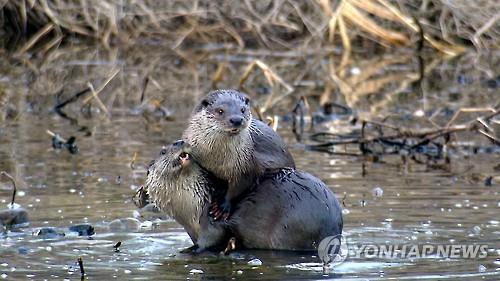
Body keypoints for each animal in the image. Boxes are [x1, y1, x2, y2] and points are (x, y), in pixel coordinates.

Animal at [182, 89, 294, 217]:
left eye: (242, 110)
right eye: (220, 111)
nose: (236, 120)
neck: (216, 159)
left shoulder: (246, 165)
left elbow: (239, 186)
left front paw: (222, 207)